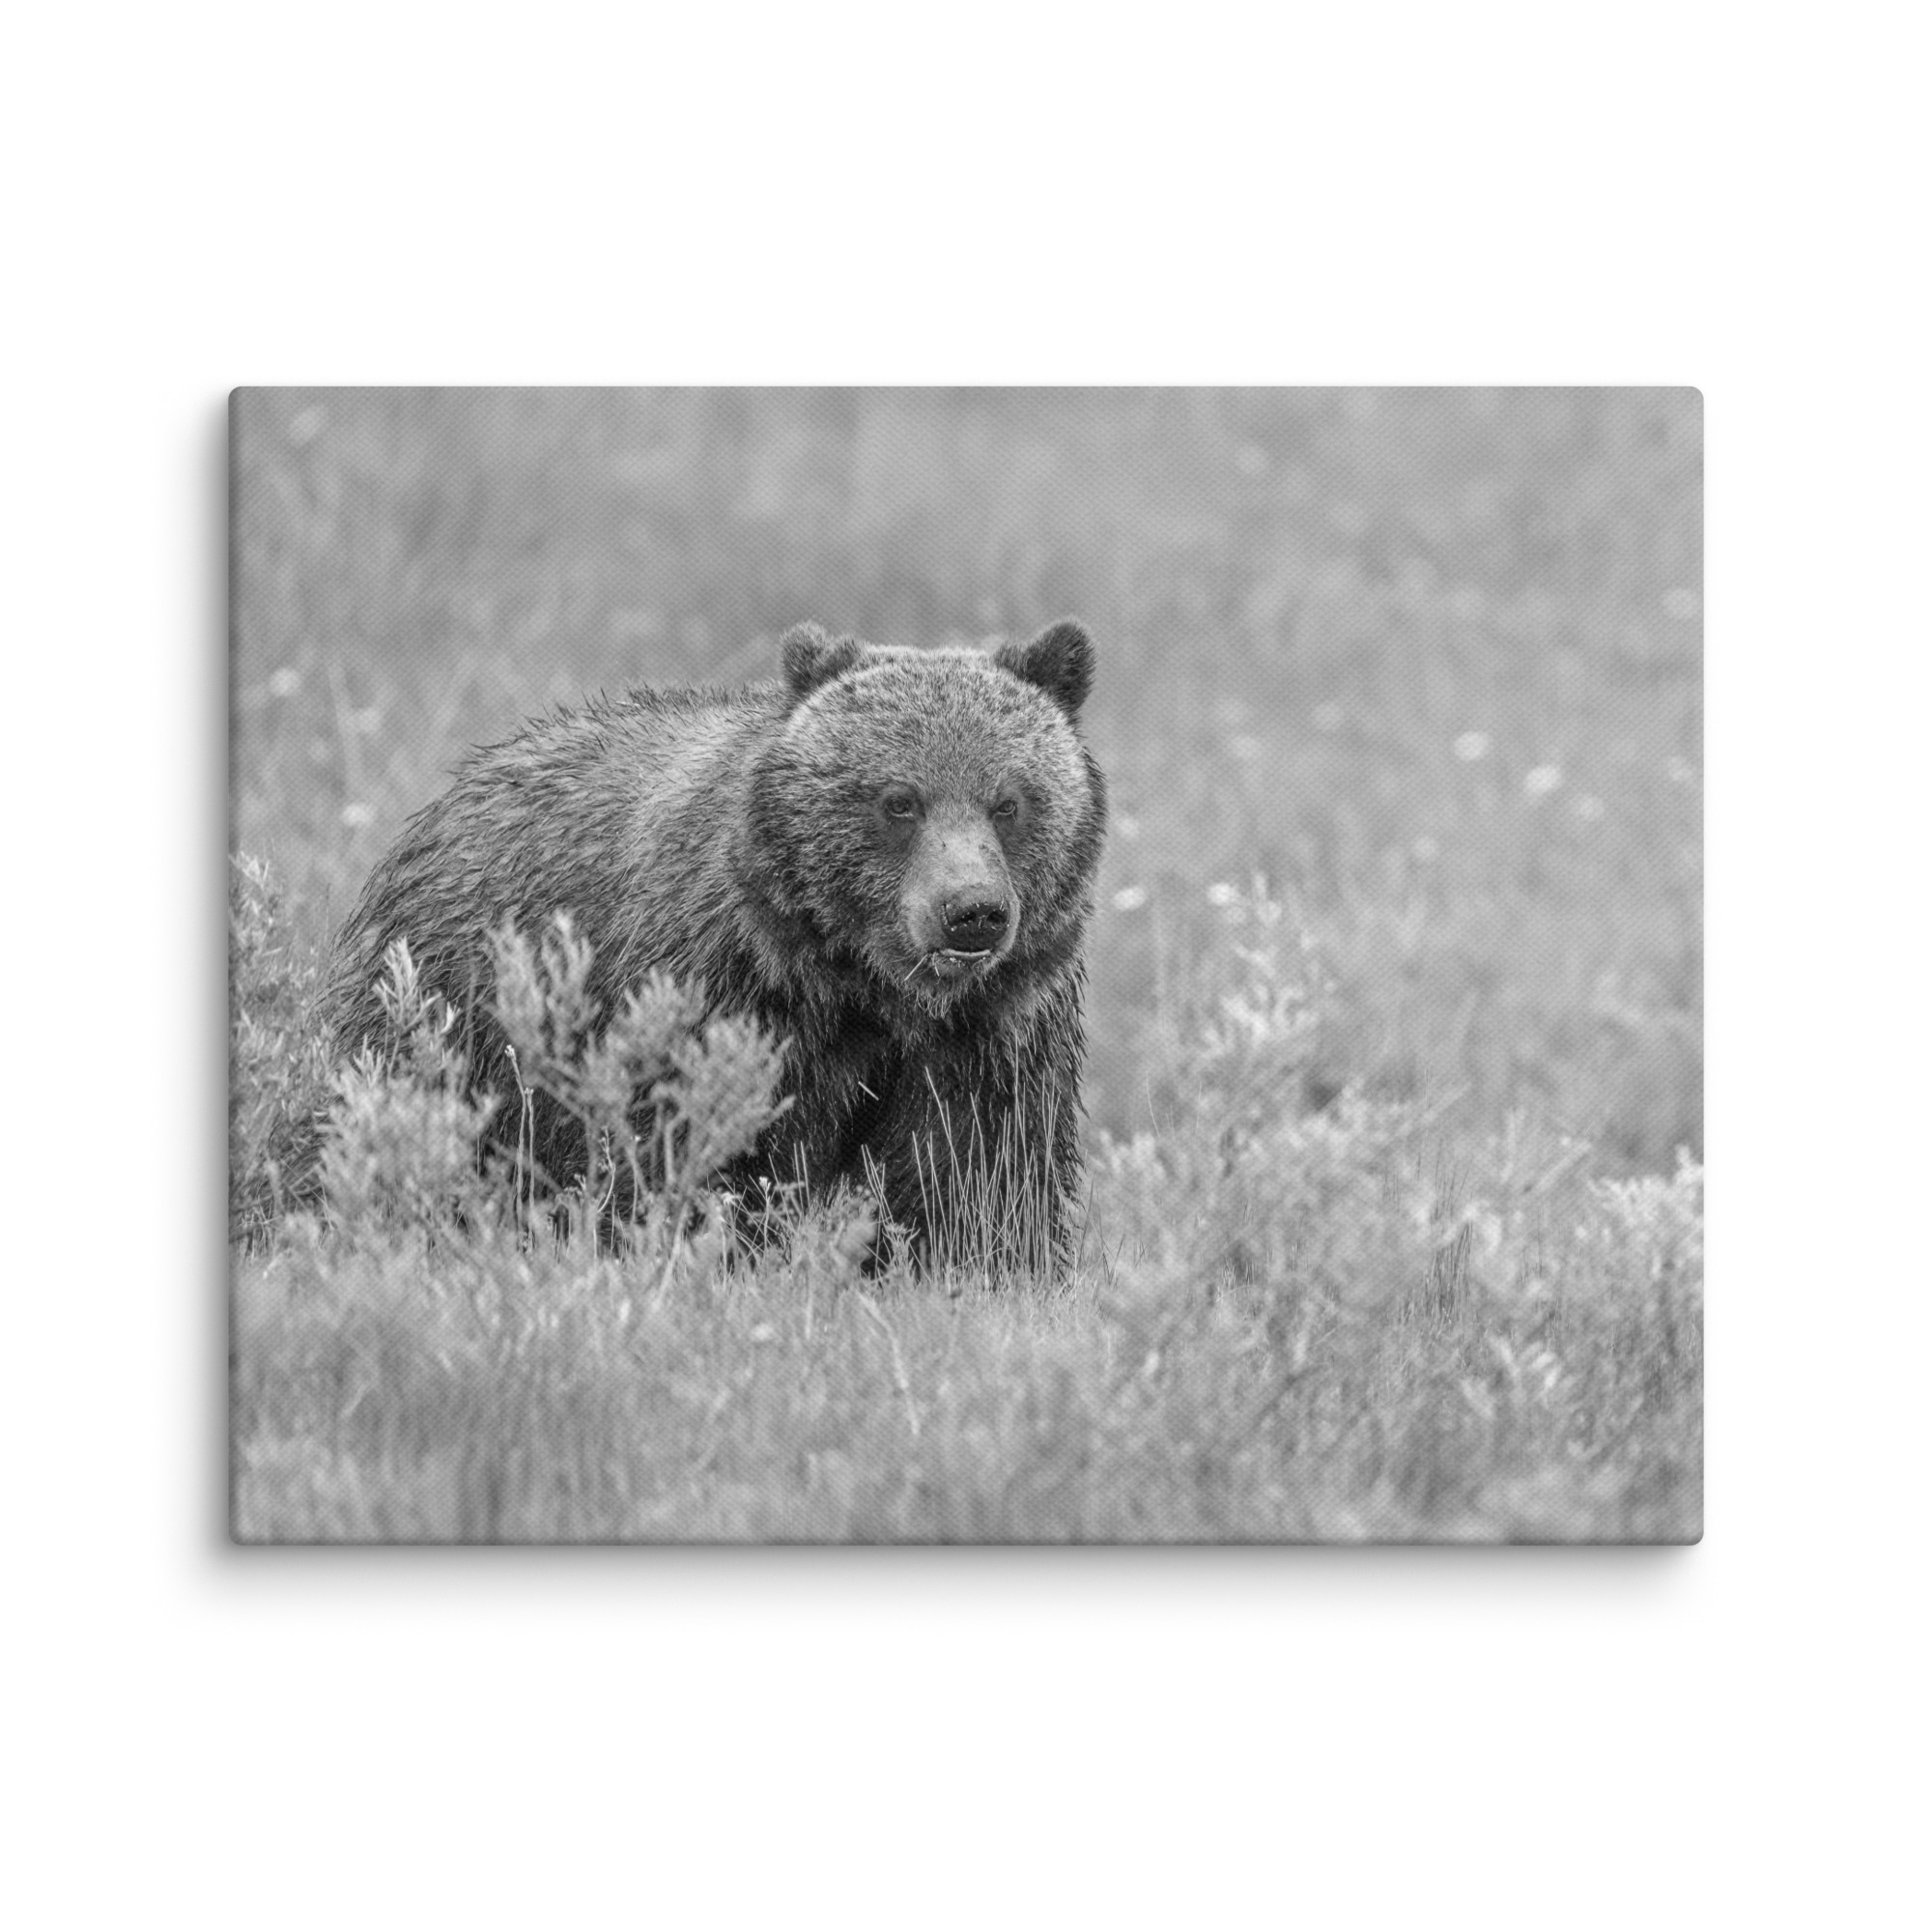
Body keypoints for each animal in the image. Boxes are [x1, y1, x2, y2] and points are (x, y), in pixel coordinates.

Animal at [322, 619, 1107, 1270]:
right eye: (899, 800)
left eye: (1009, 801)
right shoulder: (721, 994)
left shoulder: (992, 1032)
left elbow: (980, 1178)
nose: (971, 912)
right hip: (454, 1011)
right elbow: (697, 1150)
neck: (864, 988)